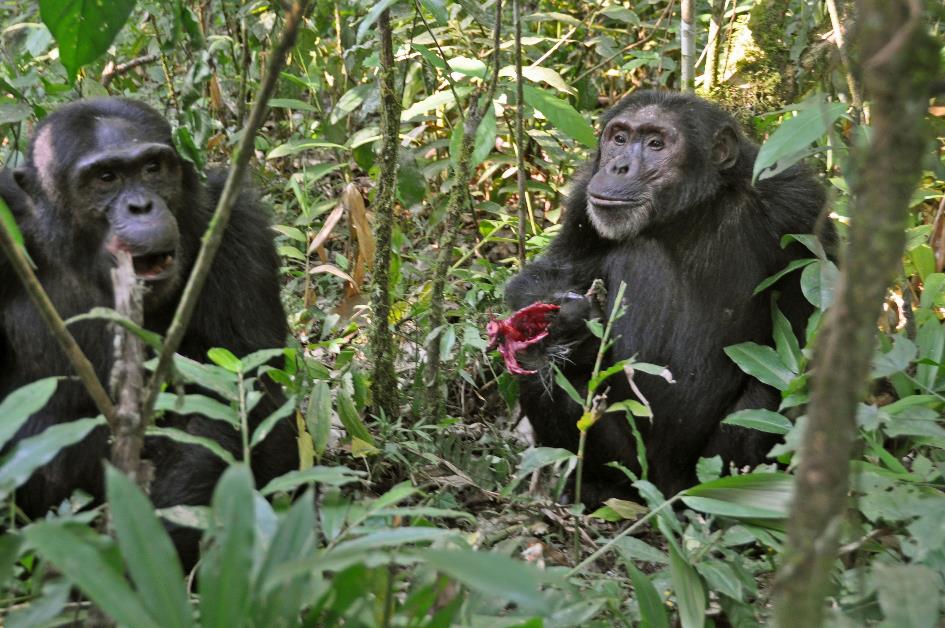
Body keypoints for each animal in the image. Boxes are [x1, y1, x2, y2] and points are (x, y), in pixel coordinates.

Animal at [508, 89, 824, 506]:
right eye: (620, 138)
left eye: (656, 144)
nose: (619, 166)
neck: (689, 212)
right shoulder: (581, 200)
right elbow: (552, 269)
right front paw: (566, 318)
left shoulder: (798, 203)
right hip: (630, 464)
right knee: (543, 368)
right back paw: (598, 489)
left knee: (770, 392)